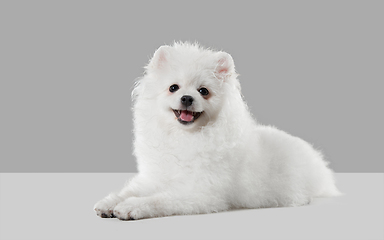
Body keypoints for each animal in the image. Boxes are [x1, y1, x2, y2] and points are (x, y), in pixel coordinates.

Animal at [94, 42, 340, 220]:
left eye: (203, 91)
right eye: (173, 87)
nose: (187, 98)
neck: (186, 137)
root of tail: (315, 157)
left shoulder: (200, 192)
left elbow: (158, 200)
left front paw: (130, 207)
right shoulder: (156, 177)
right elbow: (130, 190)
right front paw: (110, 202)